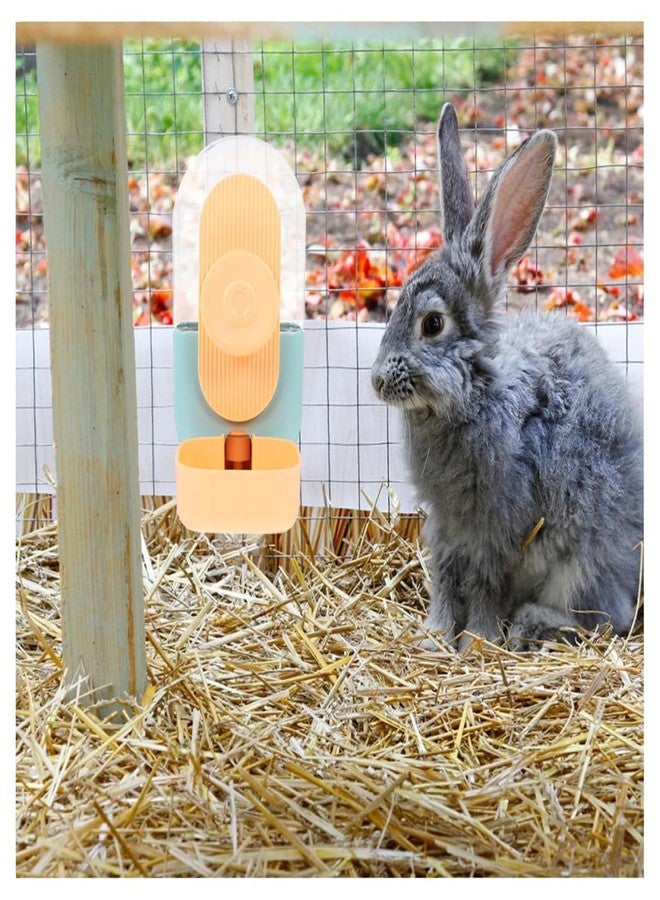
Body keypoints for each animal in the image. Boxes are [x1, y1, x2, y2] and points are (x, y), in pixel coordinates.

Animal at [371, 102, 643, 651]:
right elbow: (444, 579)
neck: (477, 391)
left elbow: (482, 585)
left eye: (432, 324)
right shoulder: (446, 528)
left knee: (607, 618)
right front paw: (434, 637)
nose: (376, 381)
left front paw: (476, 640)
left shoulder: (497, 529)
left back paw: (531, 624)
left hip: (581, 563)